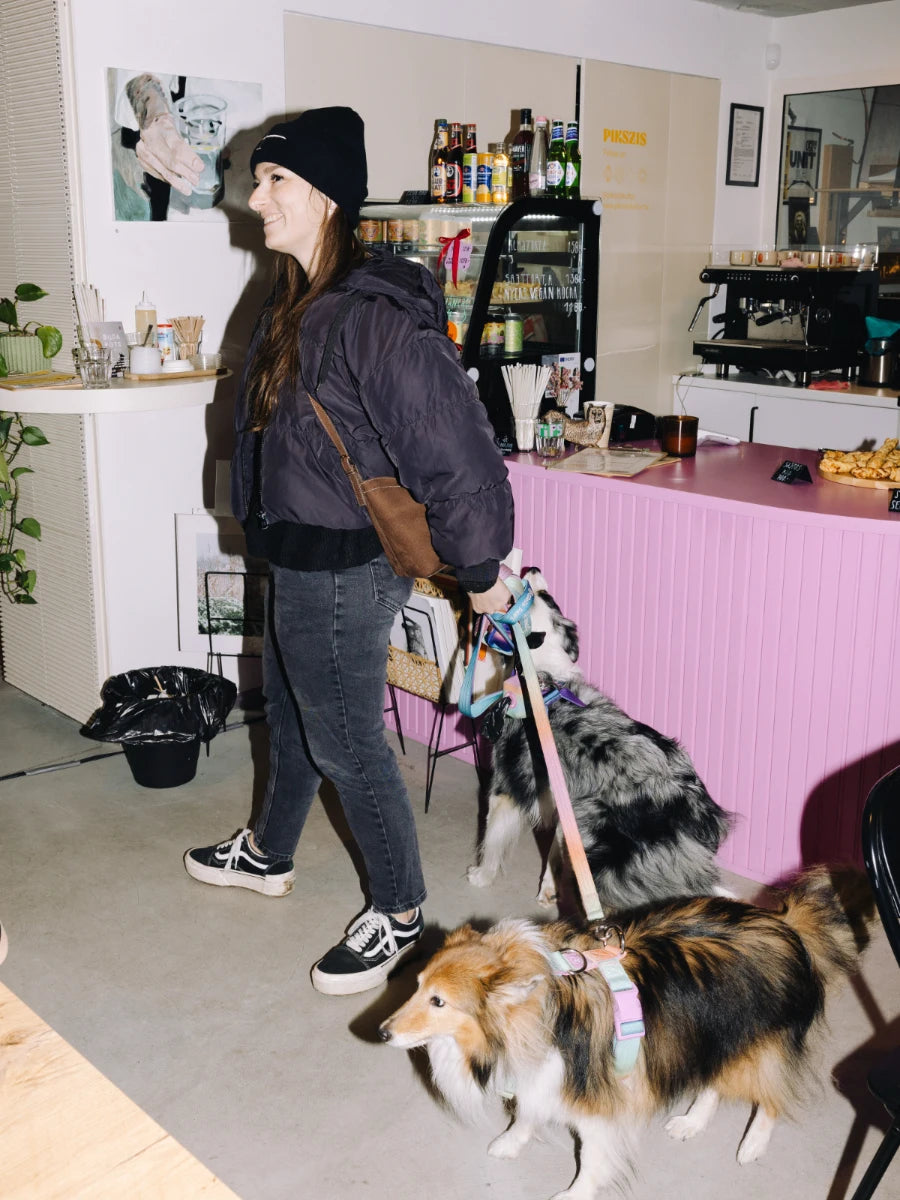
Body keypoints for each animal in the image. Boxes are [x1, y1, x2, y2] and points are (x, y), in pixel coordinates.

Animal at [380, 870, 859, 1199]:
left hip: (754, 1041)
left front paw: (573, 1195)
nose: (382, 1033)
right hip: (709, 1036)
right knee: (712, 1084)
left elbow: (591, 1157)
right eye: (417, 985)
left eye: (439, 1002)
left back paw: (753, 1143)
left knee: (770, 1094)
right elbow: (528, 1114)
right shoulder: (545, 1078)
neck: (541, 1010)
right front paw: (511, 1143)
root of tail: (787, 926)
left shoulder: (596, 1103)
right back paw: (690, 1122)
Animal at [467, 569, 733, 913]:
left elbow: (491, 837)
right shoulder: (564, 810)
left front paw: (481, 876)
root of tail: (691, 801)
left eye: (542, 595)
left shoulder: (505, 787)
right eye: (552, 599)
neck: (543, 676)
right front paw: (548, 892)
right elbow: (555, 856)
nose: (533, 568)